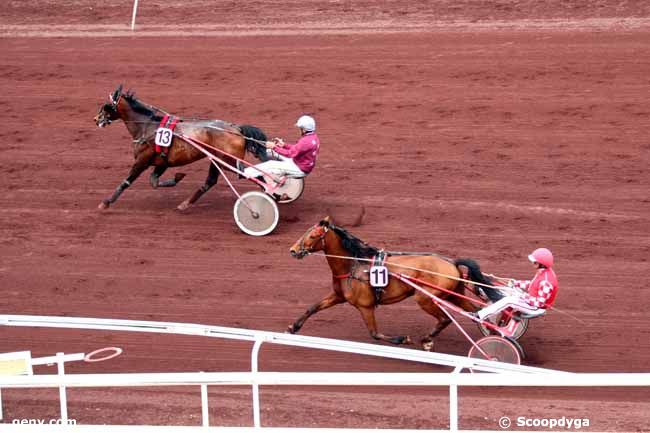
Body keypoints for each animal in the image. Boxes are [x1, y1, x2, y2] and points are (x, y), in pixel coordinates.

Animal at [92, 84, 268, 209]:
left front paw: (106, 202)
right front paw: (178, 177)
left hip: (229, 161)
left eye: (106, 106)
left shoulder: (142, 161)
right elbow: (154, 181)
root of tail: (236, 129)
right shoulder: (162, 162)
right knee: (210, 182)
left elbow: (126, 182)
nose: (96, 119)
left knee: (256, 176)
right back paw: (185, 204)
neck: (147, 127)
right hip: (216, 160)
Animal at [288, 218, 492, 350]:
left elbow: (375, 334)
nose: (293, 250)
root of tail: (451, 262)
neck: (353, 264)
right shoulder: (338, 296)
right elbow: (313, 307)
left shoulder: (365, 306)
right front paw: (293, 327)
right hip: (453, 294)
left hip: (425, 298)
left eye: (313, 236)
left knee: (445, 319)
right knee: (477, 313)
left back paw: (427, 339)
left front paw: (404, 339)